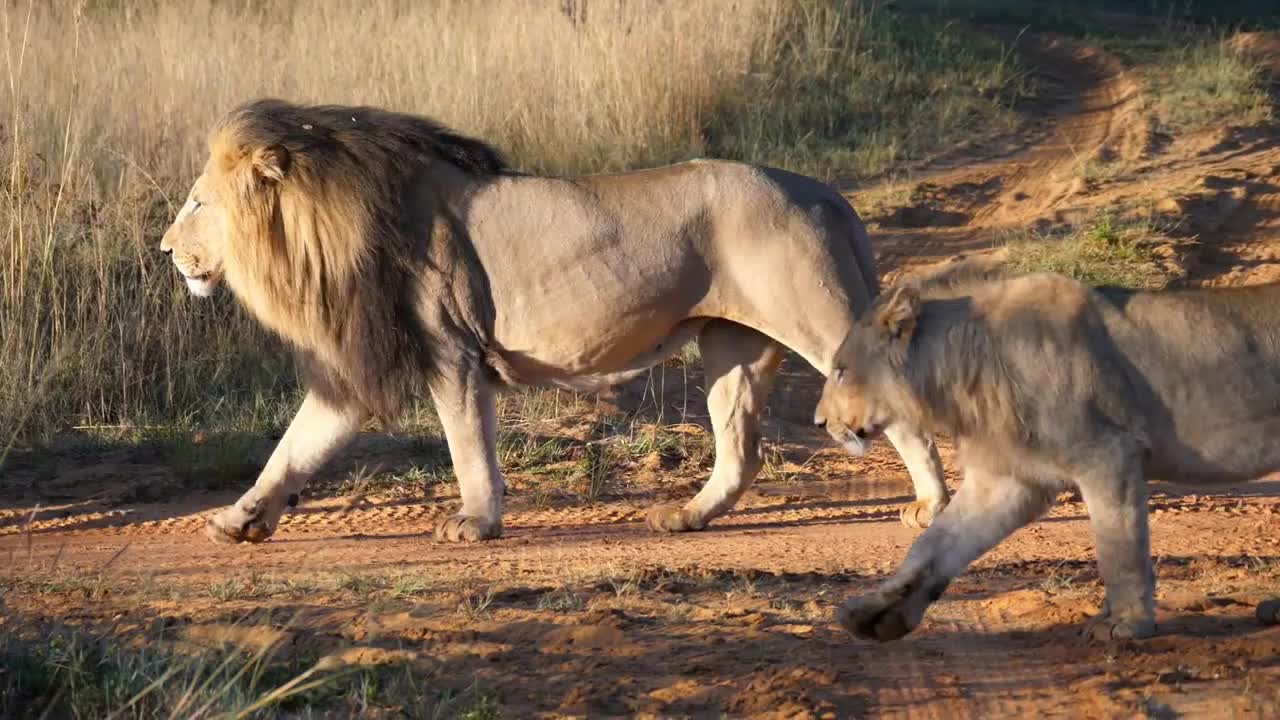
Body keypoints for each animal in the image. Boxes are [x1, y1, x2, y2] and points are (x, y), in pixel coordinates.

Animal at [157, 98, 952, 540]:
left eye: (198, 203)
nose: (164, 249)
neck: (325, 223)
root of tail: (824, 193)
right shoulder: (363, 368)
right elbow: (294, 448)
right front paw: (238, 522)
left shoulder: (450, 351)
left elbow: (468, 447)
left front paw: (475, 525)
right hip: (734, 346)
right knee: (739, 450)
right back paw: (685, 517)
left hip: (813, 317)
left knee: (899, 409)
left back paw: (932, 507)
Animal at [814, 260, 1280, 640]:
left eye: (841, 371)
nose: (819, 423)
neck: (961, 370)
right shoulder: (1009, 480)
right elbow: (933, 546)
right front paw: (874, 616)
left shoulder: (1108, 455)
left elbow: (1119, 549)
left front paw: (1125, 624)